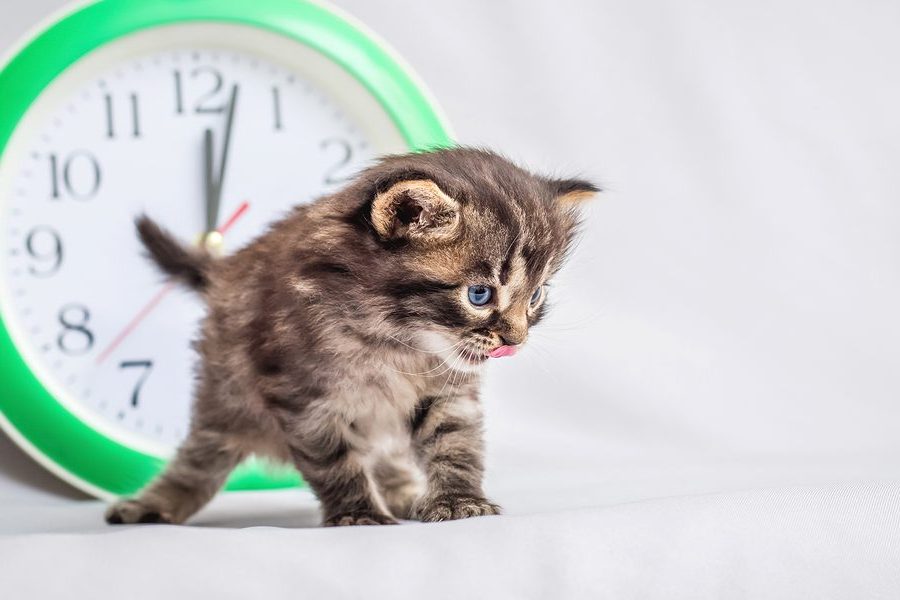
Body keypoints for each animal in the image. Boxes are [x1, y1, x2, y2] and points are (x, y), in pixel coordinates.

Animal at [105, 148, 596, 528]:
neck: (396, 339)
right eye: (480, 294)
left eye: (536, 296)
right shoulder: (304, 398)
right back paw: (153, 505)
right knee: (199, 461)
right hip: (225, 399)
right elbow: (336, 462)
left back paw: (404, 494)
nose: (515, 339)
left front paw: (458, 500)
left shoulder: (447, 393)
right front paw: (359, 513)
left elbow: (455, 444)